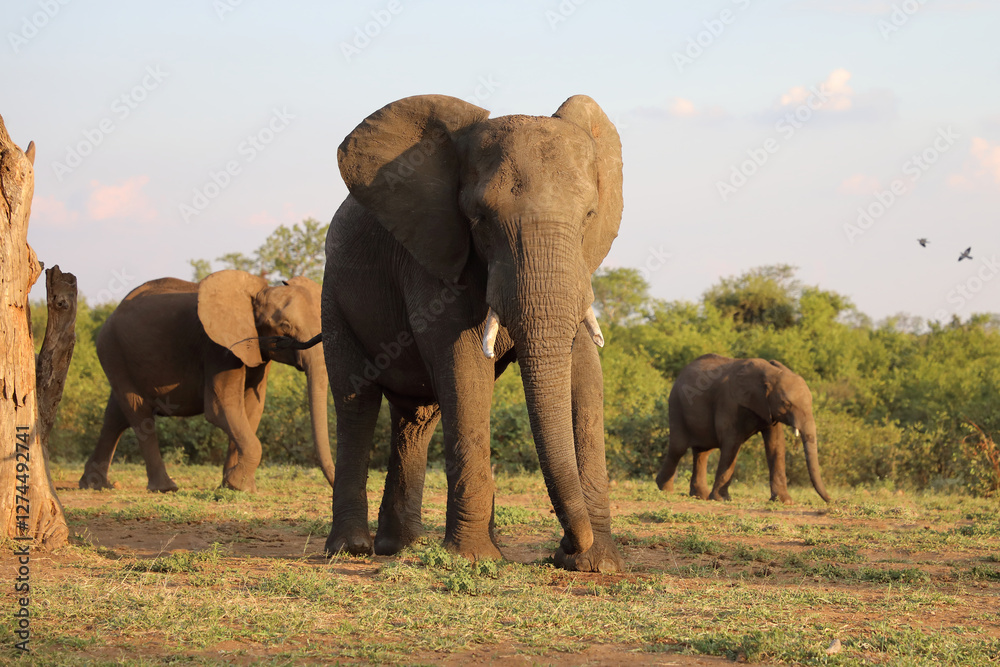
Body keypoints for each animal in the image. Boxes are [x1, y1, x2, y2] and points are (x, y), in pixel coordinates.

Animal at [79, 270, 335, 493]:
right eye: (285, 327)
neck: (259, 291)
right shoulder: (217, 346)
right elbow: (221, 407)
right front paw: (238, 486)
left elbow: (251, 409)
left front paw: (234, 487)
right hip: (112, 350)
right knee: (139, 413)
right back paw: (165, 488)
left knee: (115, 416)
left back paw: (95, 485)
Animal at [320, 94, 624, 572]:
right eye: (480, 219)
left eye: (590, 215)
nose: (563, 549)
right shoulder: (433, 254)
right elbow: (463, 366)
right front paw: (475, 559)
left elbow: (584, 373)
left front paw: (597, 565)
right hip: (333, 293)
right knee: (357, 401)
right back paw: (351, 549)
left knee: (417, 419)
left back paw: (401, 546)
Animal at [655, 354, 831, 504]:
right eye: (786, 404)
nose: (831, 500)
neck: (769, 373)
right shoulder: (729, 402)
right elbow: (731, 443)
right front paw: (722, 499)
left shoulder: (768, 410)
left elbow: (776, 445)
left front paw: (784, 501)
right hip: (676, 404)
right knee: (678, 448)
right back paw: (664, 489)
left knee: (702, 452)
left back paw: (700, 496)